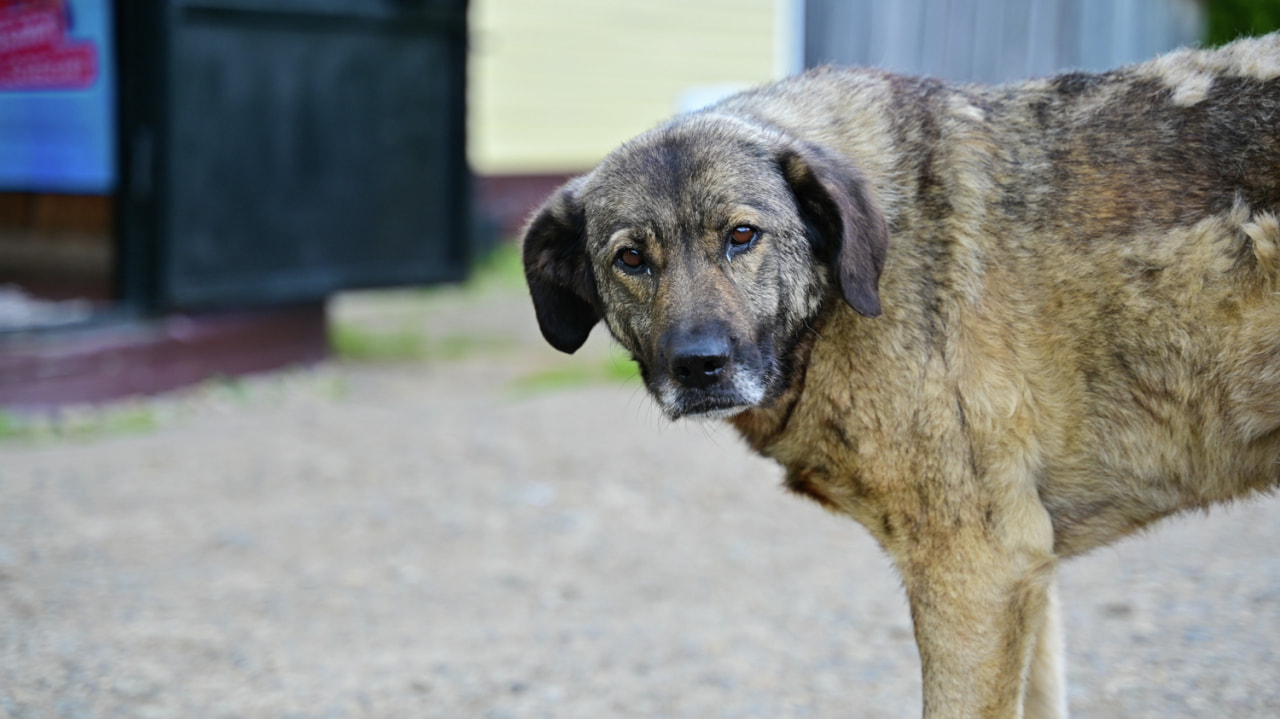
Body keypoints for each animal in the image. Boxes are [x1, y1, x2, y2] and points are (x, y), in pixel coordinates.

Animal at [517, 35, 1280, 716]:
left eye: (741, 236)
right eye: (631, 258)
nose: (698, 365)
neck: (851, 284)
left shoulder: (977, 573)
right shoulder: (1029, 570)